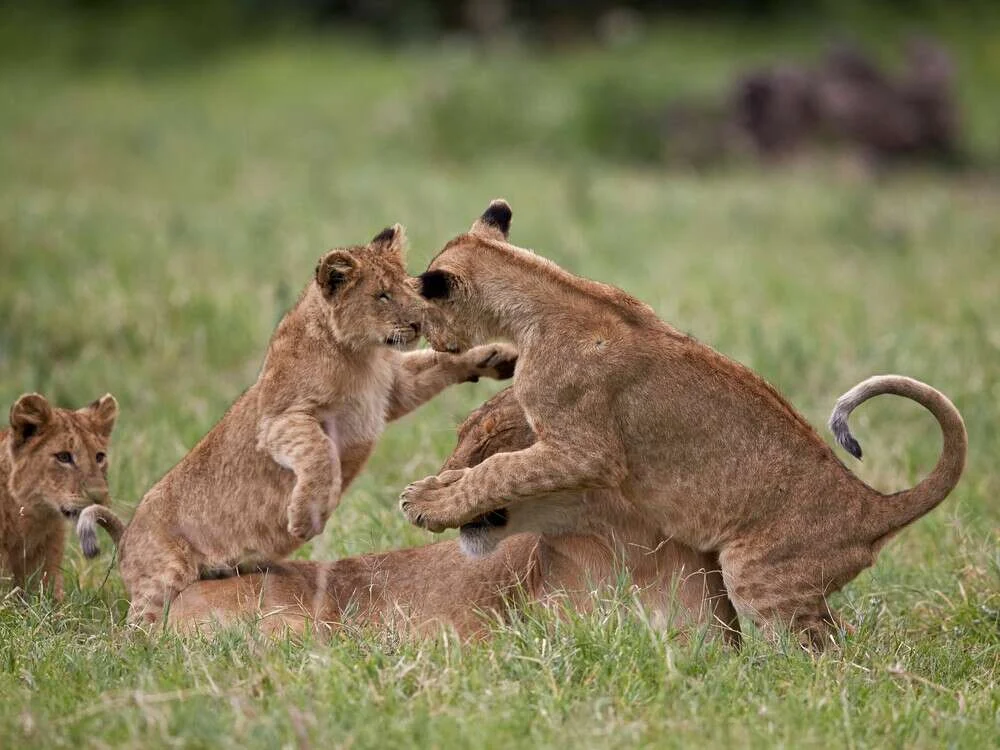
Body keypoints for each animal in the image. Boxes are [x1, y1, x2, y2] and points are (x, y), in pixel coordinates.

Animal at [117, 225, 516, 624]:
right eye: (382, 295)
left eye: (409, 288)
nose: (418, 322)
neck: (360, 355)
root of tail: (125, 538)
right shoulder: (282, 419)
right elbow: (320, 453)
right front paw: (306, 517)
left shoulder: (394, 390)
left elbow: (435, 363)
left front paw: (497, 356)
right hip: (162, 574)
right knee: (135, 625)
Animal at [399, 199, 967, 649]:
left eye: (426, 312)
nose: (431, 340)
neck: (551, 295)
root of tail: (871, 505)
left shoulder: (584, 450)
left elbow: (500, 472)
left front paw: (427, 499)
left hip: (759, 575)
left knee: (821, 651)